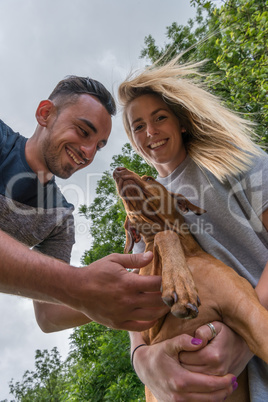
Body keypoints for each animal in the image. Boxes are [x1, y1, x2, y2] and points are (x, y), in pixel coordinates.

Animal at [113, 166, 268, 402]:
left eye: (148, 178)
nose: (117, 169)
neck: (188, 254)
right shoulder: (146, 325)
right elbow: (164, 236)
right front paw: (180, 284)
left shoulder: (248, 312)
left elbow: (165, 234)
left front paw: (179, 283)